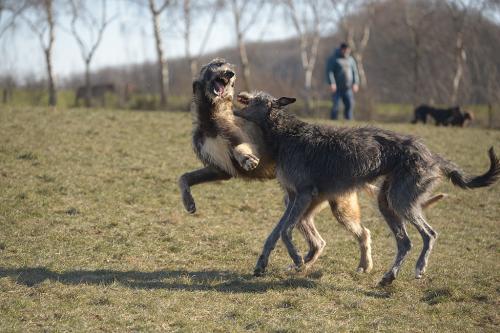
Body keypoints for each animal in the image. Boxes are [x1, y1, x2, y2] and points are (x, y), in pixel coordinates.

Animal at [235, 91, 500, 286]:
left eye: (257, 97)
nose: (240, 93)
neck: (287, 133)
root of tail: (431, 155)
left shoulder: (303, 194)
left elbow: (285, 231)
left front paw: (297, 258)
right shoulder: (292, 198)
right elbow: (274, 233)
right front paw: (262, 263)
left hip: (401, 200)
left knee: (428, 234)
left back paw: (419, 267)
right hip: (387, 202)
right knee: (404, 242)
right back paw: (389, 276)